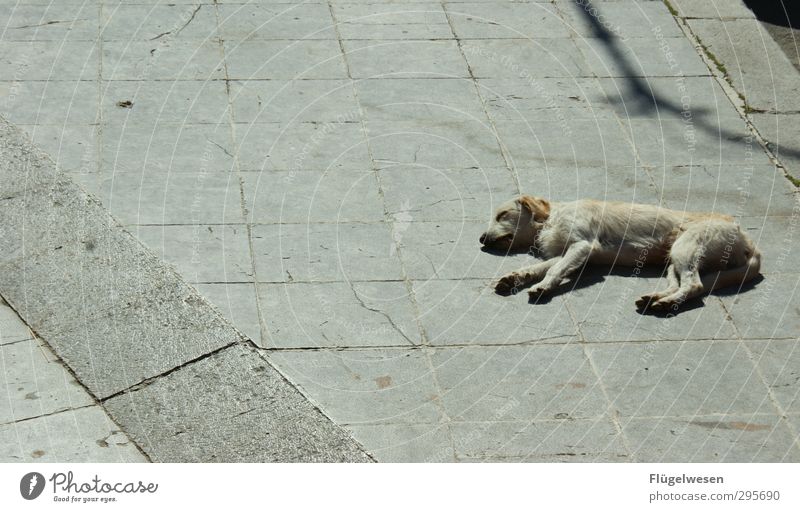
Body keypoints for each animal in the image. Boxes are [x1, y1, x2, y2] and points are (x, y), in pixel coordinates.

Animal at [482, 195, 764, 310]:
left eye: (502, 214)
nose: (481, 238)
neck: (551, 218)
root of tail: (749, 240)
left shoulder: (582, 246)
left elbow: (553, 271)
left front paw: (542, 287)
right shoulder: (566, 252)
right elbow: (538, 267)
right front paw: (514, 277)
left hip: (686, 248)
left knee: (694, 285)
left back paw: (666, 304)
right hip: (673, 259)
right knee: (681, 284)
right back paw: (655, 299)